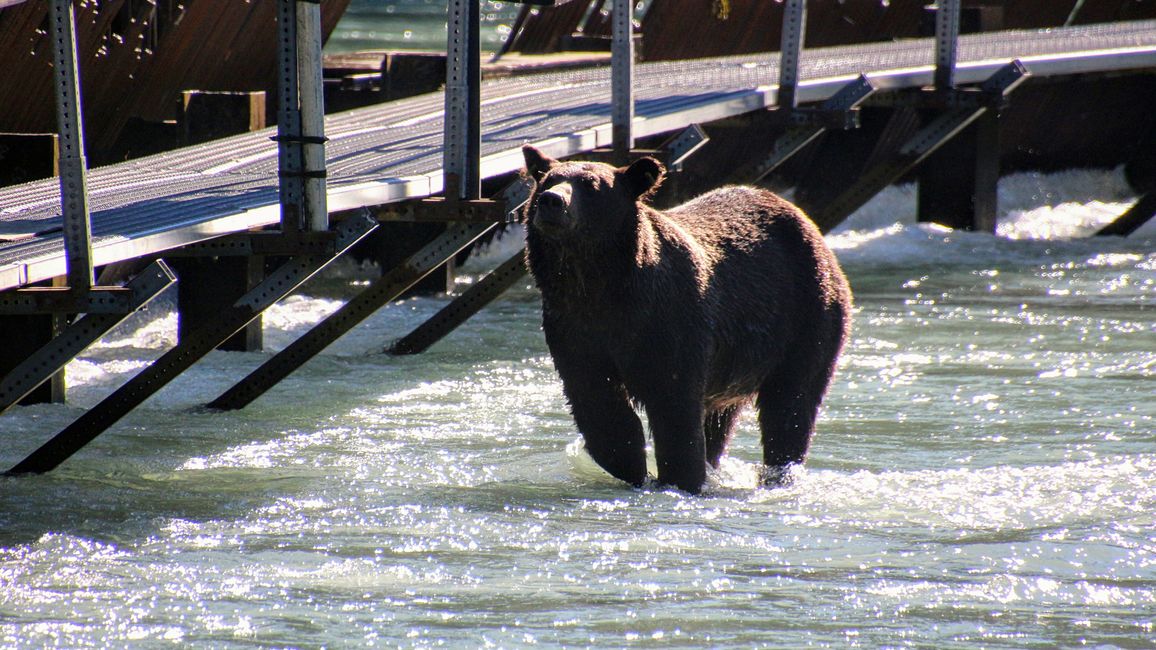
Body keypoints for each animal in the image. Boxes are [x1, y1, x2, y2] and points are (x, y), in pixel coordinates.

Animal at [522, 145, 850, 490]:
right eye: (548, 180)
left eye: (591, 184)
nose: (552, 201)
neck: (599, 285)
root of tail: (807, 223)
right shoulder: (573, 328)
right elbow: (596, 399)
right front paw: (630, 464)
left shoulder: (669, 319)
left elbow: (673, 404)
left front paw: (680, 477)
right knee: (722, 419)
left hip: (808, 314)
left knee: (791, 405)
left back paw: (778, 472)